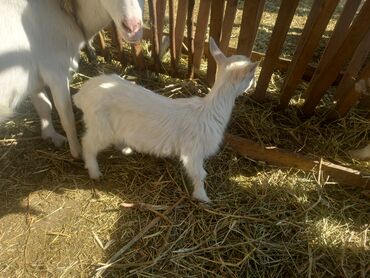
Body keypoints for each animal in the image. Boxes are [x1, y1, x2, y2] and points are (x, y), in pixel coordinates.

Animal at [0, 0, 144, 157]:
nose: (132, 27)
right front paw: (77, 151)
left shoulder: (33, 76)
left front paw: (51, 135)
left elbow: (44, 106)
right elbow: (66, 115)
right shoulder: (55, 71)